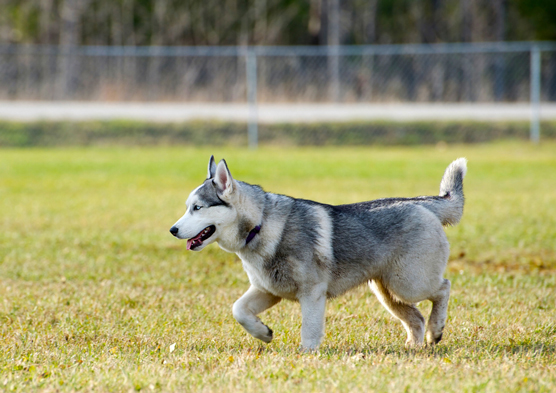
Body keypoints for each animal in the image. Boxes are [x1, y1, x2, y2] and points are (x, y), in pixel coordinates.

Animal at [169, 155, 464, 350]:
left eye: (197, 207)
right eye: (187, 207)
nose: (172, 229)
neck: (261, 225)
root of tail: (421, 203)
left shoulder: (311, 293)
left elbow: (309, 329)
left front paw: (307, 355)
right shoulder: (268, 290)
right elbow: (238, 310)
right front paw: (263, 333)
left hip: (409, 283)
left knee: (444, 288)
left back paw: (436, 331)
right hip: (387, 291)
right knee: (416, 317)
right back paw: (415, 345)